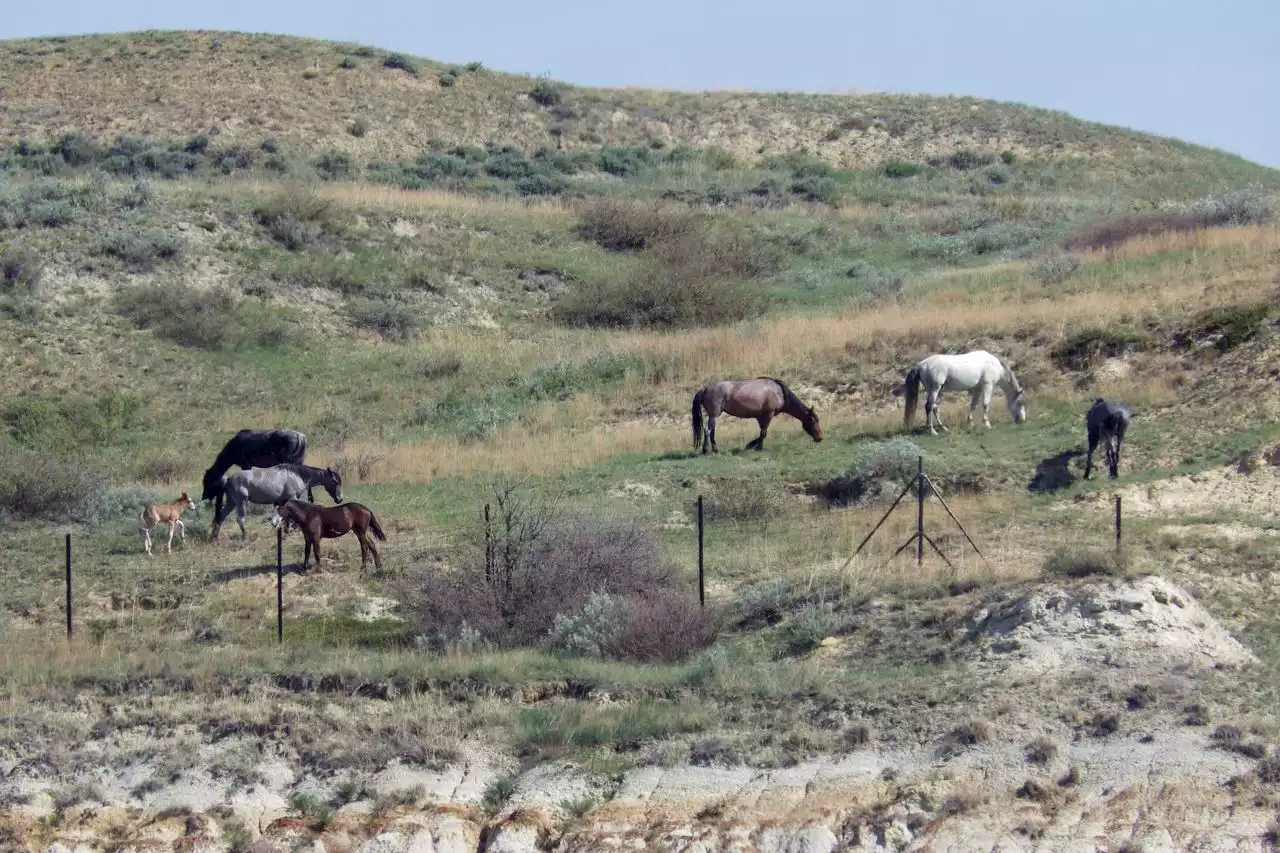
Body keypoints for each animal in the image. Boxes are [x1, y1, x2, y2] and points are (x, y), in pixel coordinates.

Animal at [215, 461, 345, 535]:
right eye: (335, 481)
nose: (340, 499)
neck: (297, 475)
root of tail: (228, 478)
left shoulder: (284, 501)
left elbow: (285, 517)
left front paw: (286, 531)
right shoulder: (293, 498)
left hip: (231, 502)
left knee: (220, 517)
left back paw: (214, 539)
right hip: (241, 502)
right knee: (240, 519)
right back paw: (245, 537)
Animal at [691, 373, 819, 450]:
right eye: (814, 421)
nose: (820, 438)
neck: (779, 392)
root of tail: (706, 388)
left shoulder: (760, 416)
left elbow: (762, 432)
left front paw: (757, 446)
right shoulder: (768, 414)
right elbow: (763, 433)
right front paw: (753, 446)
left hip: (713, 416)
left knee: (712, 432)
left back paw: (715, 450)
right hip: (714, 415)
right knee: (707, 431)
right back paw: (706, 450)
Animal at [896, 348, 1024, 435]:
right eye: (1020, 403)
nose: (1022, 420)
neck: (994, 365)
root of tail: (921, 365)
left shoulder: (977, 388)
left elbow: (973, 405)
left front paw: (970, 423)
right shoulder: (988, 386)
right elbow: (985, 404)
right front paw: (987, 424)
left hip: (933, 390)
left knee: (935, 407)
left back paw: (943, 428)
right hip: (935, 389)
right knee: (929, 406)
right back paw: (932, 431)